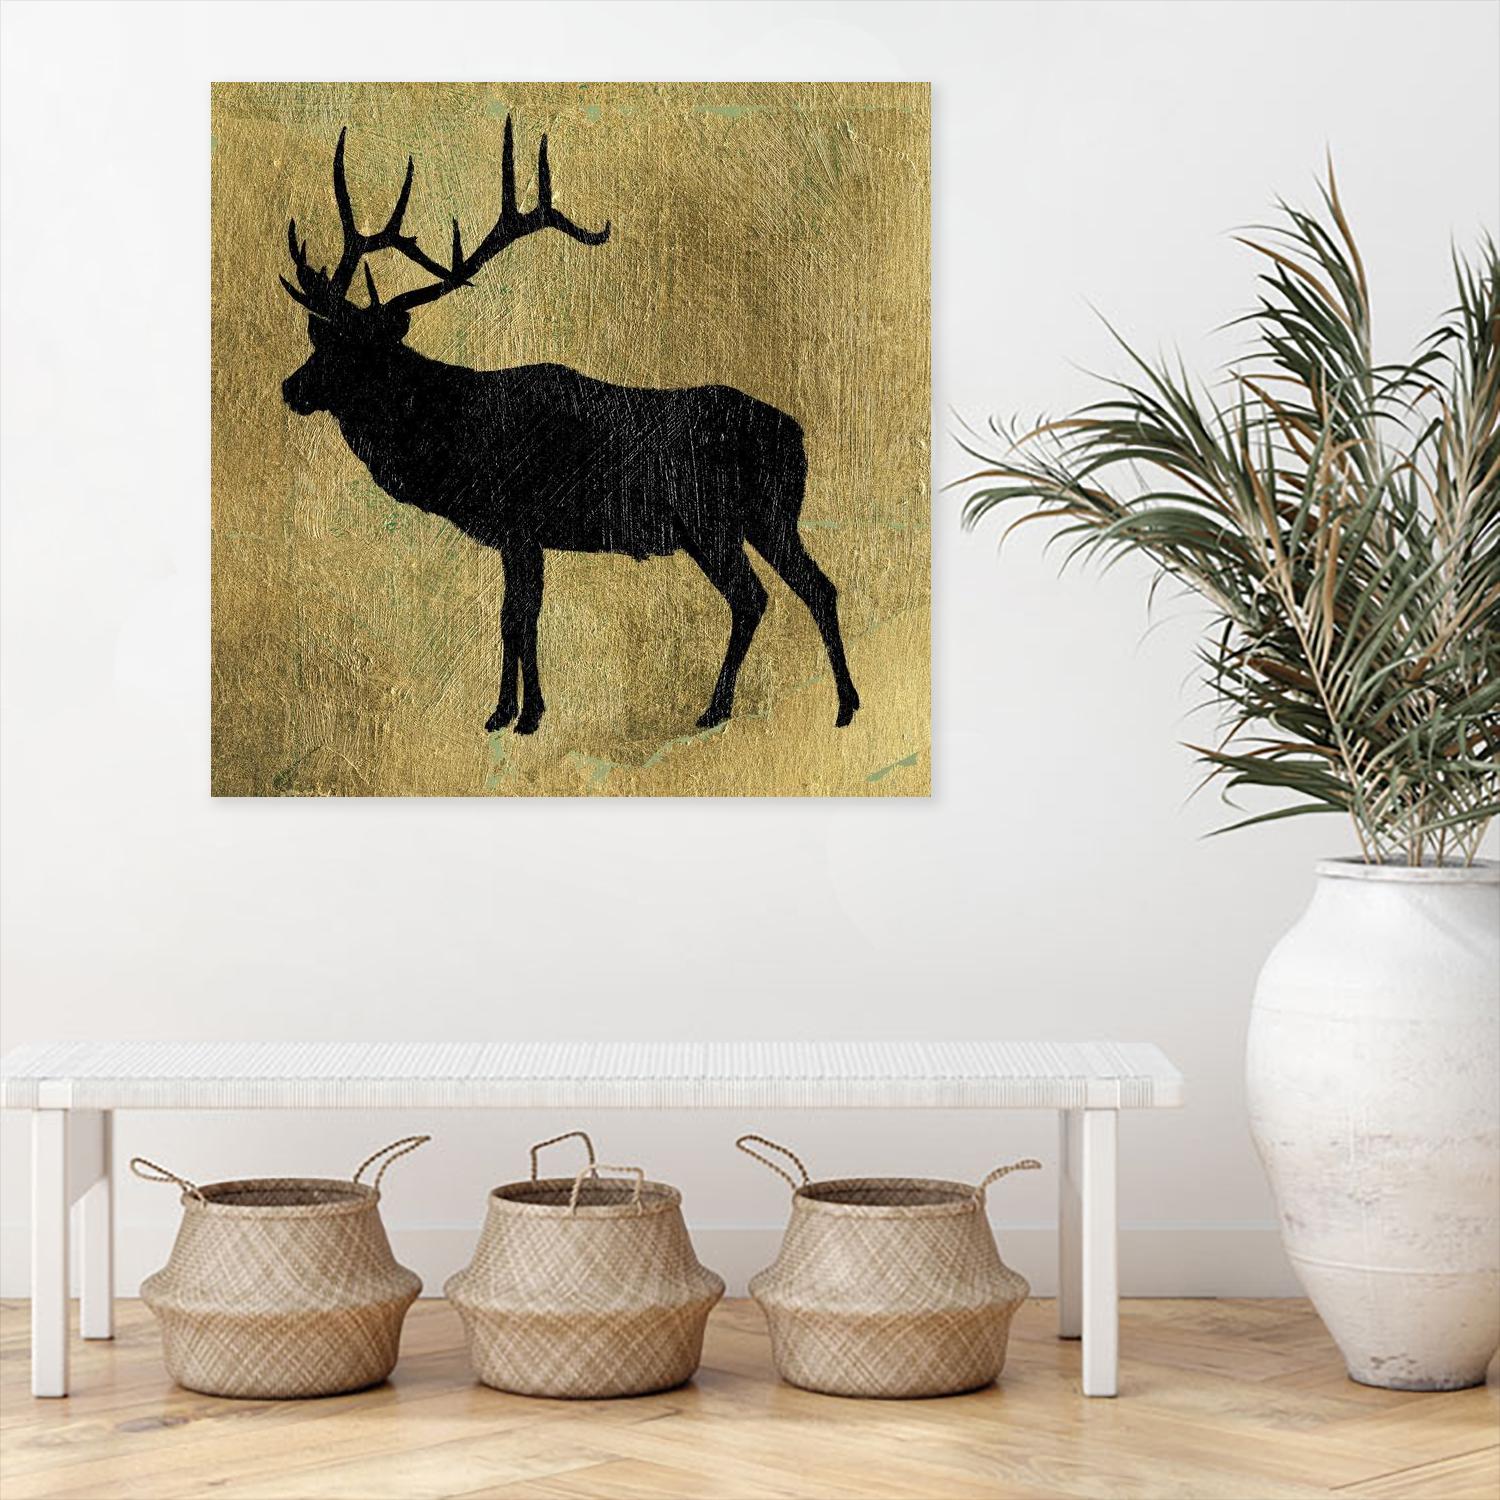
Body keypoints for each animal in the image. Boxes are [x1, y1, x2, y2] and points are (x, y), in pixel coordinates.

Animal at [279, 119, 860, 737]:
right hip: (770, 517)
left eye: (357, 350)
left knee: (753, 596)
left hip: (713, 519)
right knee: (817, 586)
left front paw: (521, 714)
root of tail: (796, 434)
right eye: (322, 340)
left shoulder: (519, 522)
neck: (456, 441)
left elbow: (519, 617)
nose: (291, 388)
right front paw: (509, 711)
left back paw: (718, 707)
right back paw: (844, 704)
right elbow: (514, 616)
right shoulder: (518, 535)